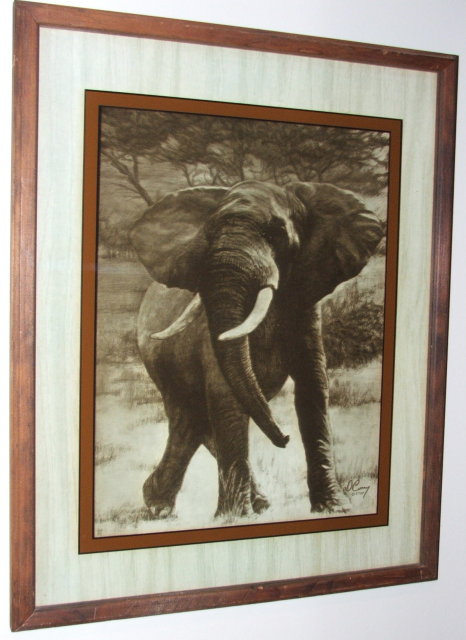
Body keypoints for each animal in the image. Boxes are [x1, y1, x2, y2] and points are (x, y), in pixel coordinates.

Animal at [130, 180, 383, 519]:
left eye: (276, 235)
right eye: (208, 236)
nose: (285, 439)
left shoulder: (305, 301)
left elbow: (313, 386)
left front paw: (334, 508)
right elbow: (225, 393)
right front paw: (233, 519)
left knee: (195, 423)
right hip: (162, 363)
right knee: (188, 416)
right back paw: (160, 507)